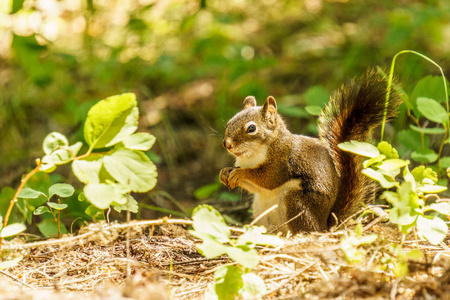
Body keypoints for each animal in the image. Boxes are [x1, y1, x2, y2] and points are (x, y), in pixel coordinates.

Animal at [220, 69, 400, 234]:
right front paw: (224, 173)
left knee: (305, 228)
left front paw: (242, 173)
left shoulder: (282, 161)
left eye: (251, 128)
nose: (226, 144)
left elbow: (268, 178)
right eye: (228, 123)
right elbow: (254, 187)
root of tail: (325, 225)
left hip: (296, 201)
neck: (251, 156)